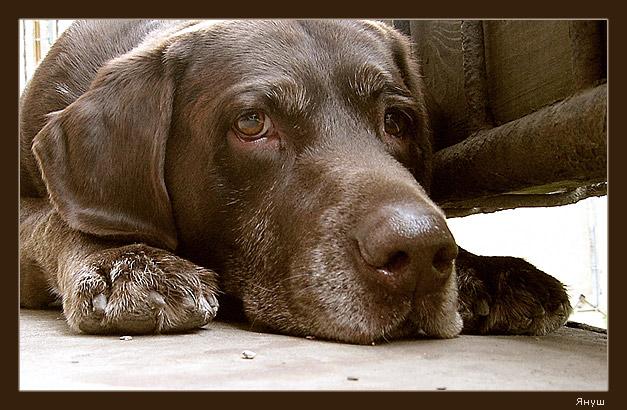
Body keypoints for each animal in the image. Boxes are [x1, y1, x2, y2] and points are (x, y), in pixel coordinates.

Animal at [19, 20, 572, 344]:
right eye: (251, 123)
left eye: (397, 121)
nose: (419, 252)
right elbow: (55, 220)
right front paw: (123, 261)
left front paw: (490, 271)